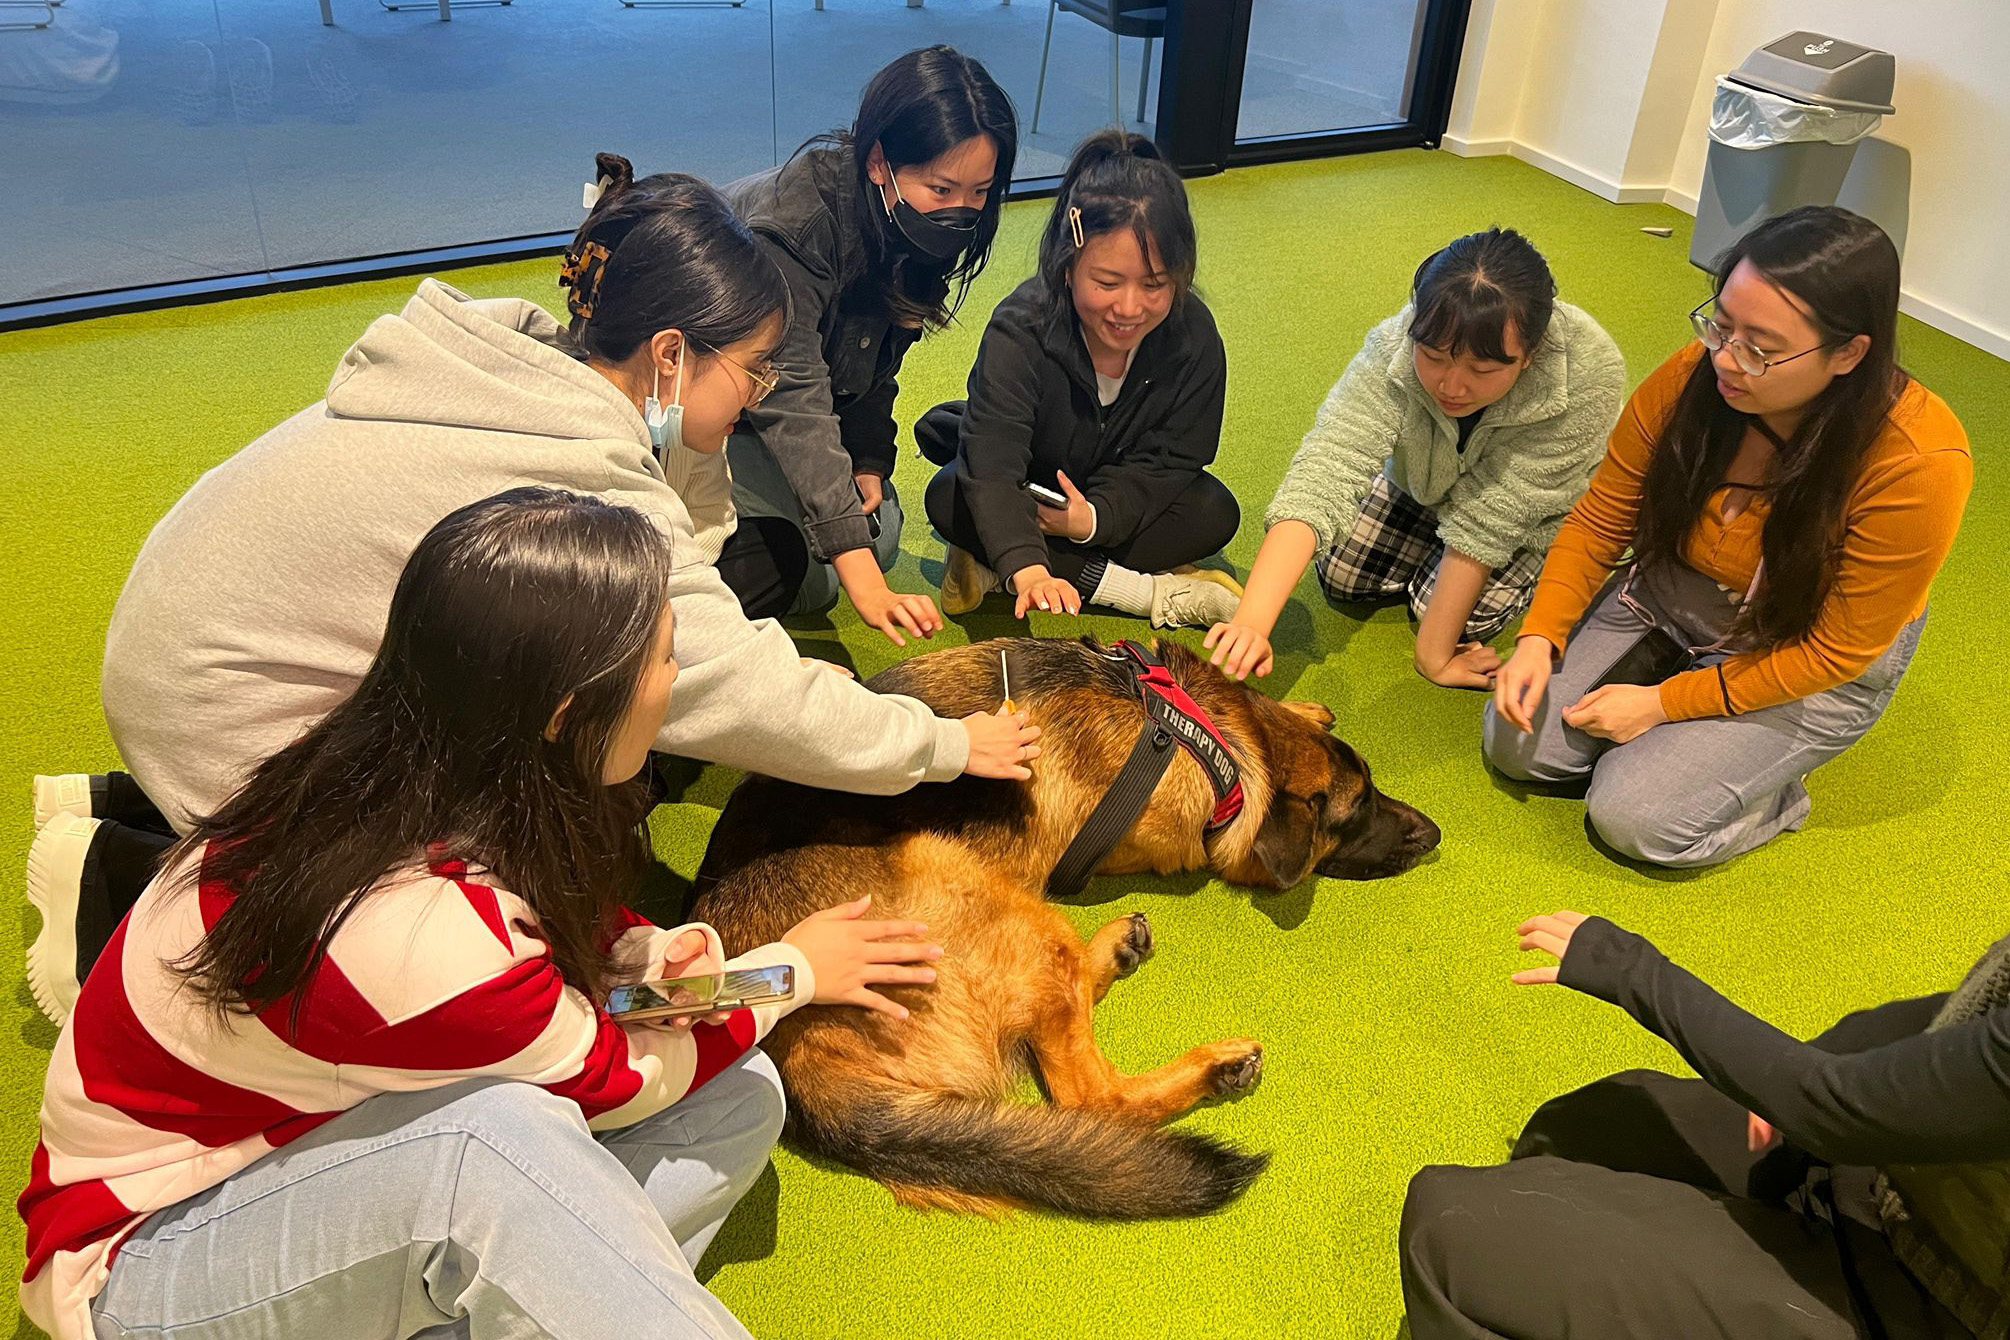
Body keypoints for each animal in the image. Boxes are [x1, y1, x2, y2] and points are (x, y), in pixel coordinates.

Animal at [695, 634, 1447, 1221]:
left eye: (1374, 788)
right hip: (993, 895)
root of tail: (788, 1042)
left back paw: (1114, 950)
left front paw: (1301, 706)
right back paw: (1212, 1067)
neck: (1215, 742)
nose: (1435, 834)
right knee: (1094, 1098)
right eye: (1357, 812)